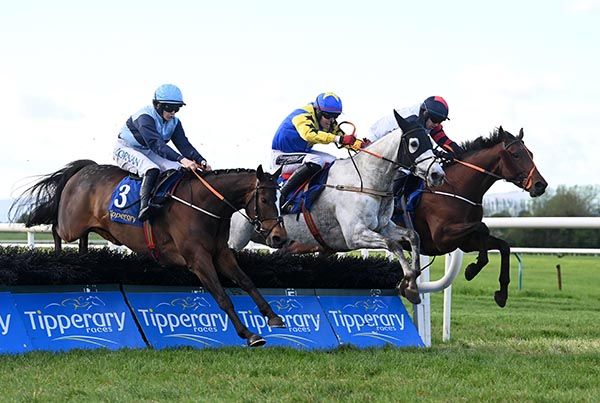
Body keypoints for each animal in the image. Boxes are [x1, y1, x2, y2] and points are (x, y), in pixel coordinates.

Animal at [11, 161, 288, 348]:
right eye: (265, 199)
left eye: (280, 198)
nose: (279, 237)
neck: (204, 205)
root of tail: (84, 169)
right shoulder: (198, 259)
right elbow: (222, 296)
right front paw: (249, 334)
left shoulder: (221, 253)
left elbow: (247, 282)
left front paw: (274, 317)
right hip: (71, 225)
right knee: (56, 229)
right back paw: (59, 259)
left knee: (81, 241)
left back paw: (80, 261)